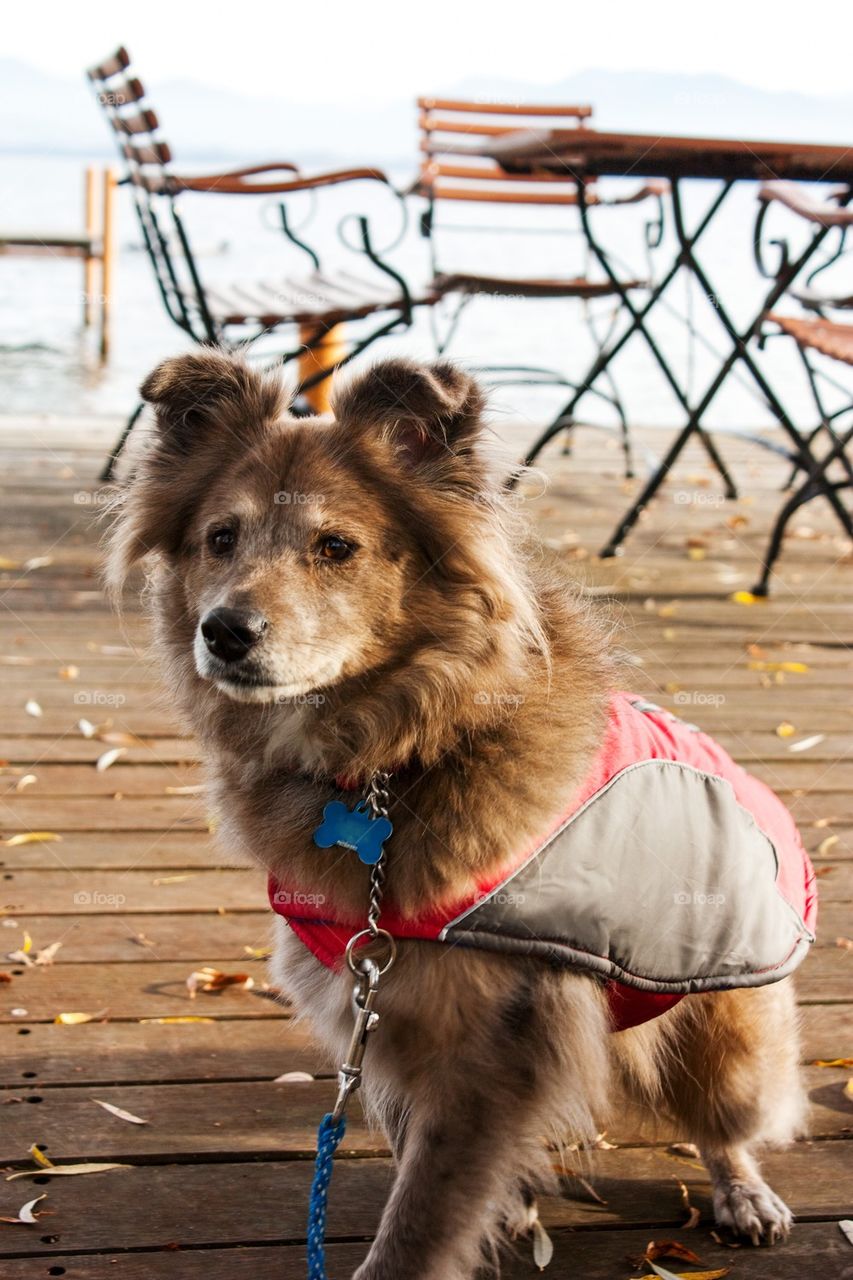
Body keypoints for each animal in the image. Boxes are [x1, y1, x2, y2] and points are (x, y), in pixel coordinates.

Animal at [109, 353, 799, 1280]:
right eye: (220, 538)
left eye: (336, 548)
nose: (224, 631)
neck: (391, 756)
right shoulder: (381, 1012)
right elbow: (421, 1167)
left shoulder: (492, 1051)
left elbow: (420, 1219)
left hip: (727, 1039)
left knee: (727, 1123)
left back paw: (743, 1192)